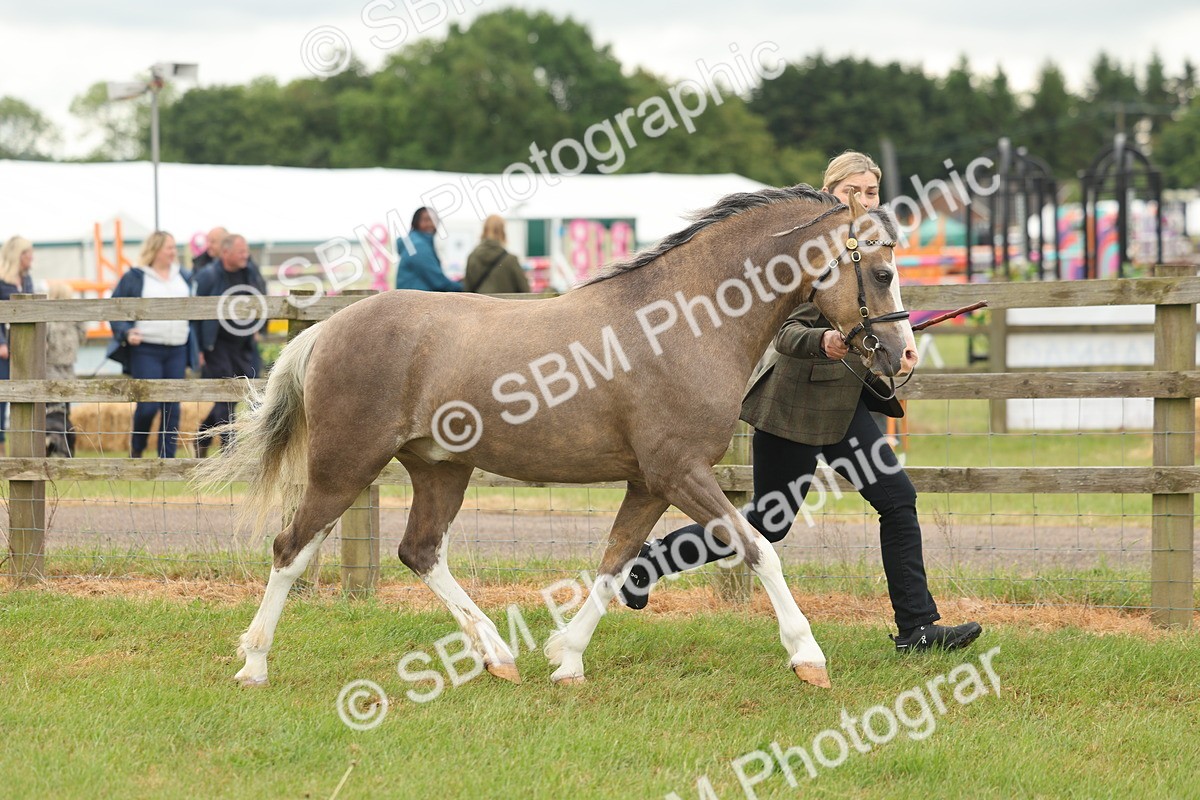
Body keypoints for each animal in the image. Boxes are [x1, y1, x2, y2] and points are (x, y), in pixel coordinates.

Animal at [194, 185, 916, 690]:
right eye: (882, 273)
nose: (903, 355)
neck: (684, 322)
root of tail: (325, 330)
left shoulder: (650, 482)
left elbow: (615, 562)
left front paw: (566, 658)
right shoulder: (681, 472)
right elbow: (759, 550)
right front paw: (809, 657)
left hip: (438, 469)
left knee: (418, 551)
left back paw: (498, 655)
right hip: (346, 466)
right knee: (291, 549)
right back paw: (254, 665)